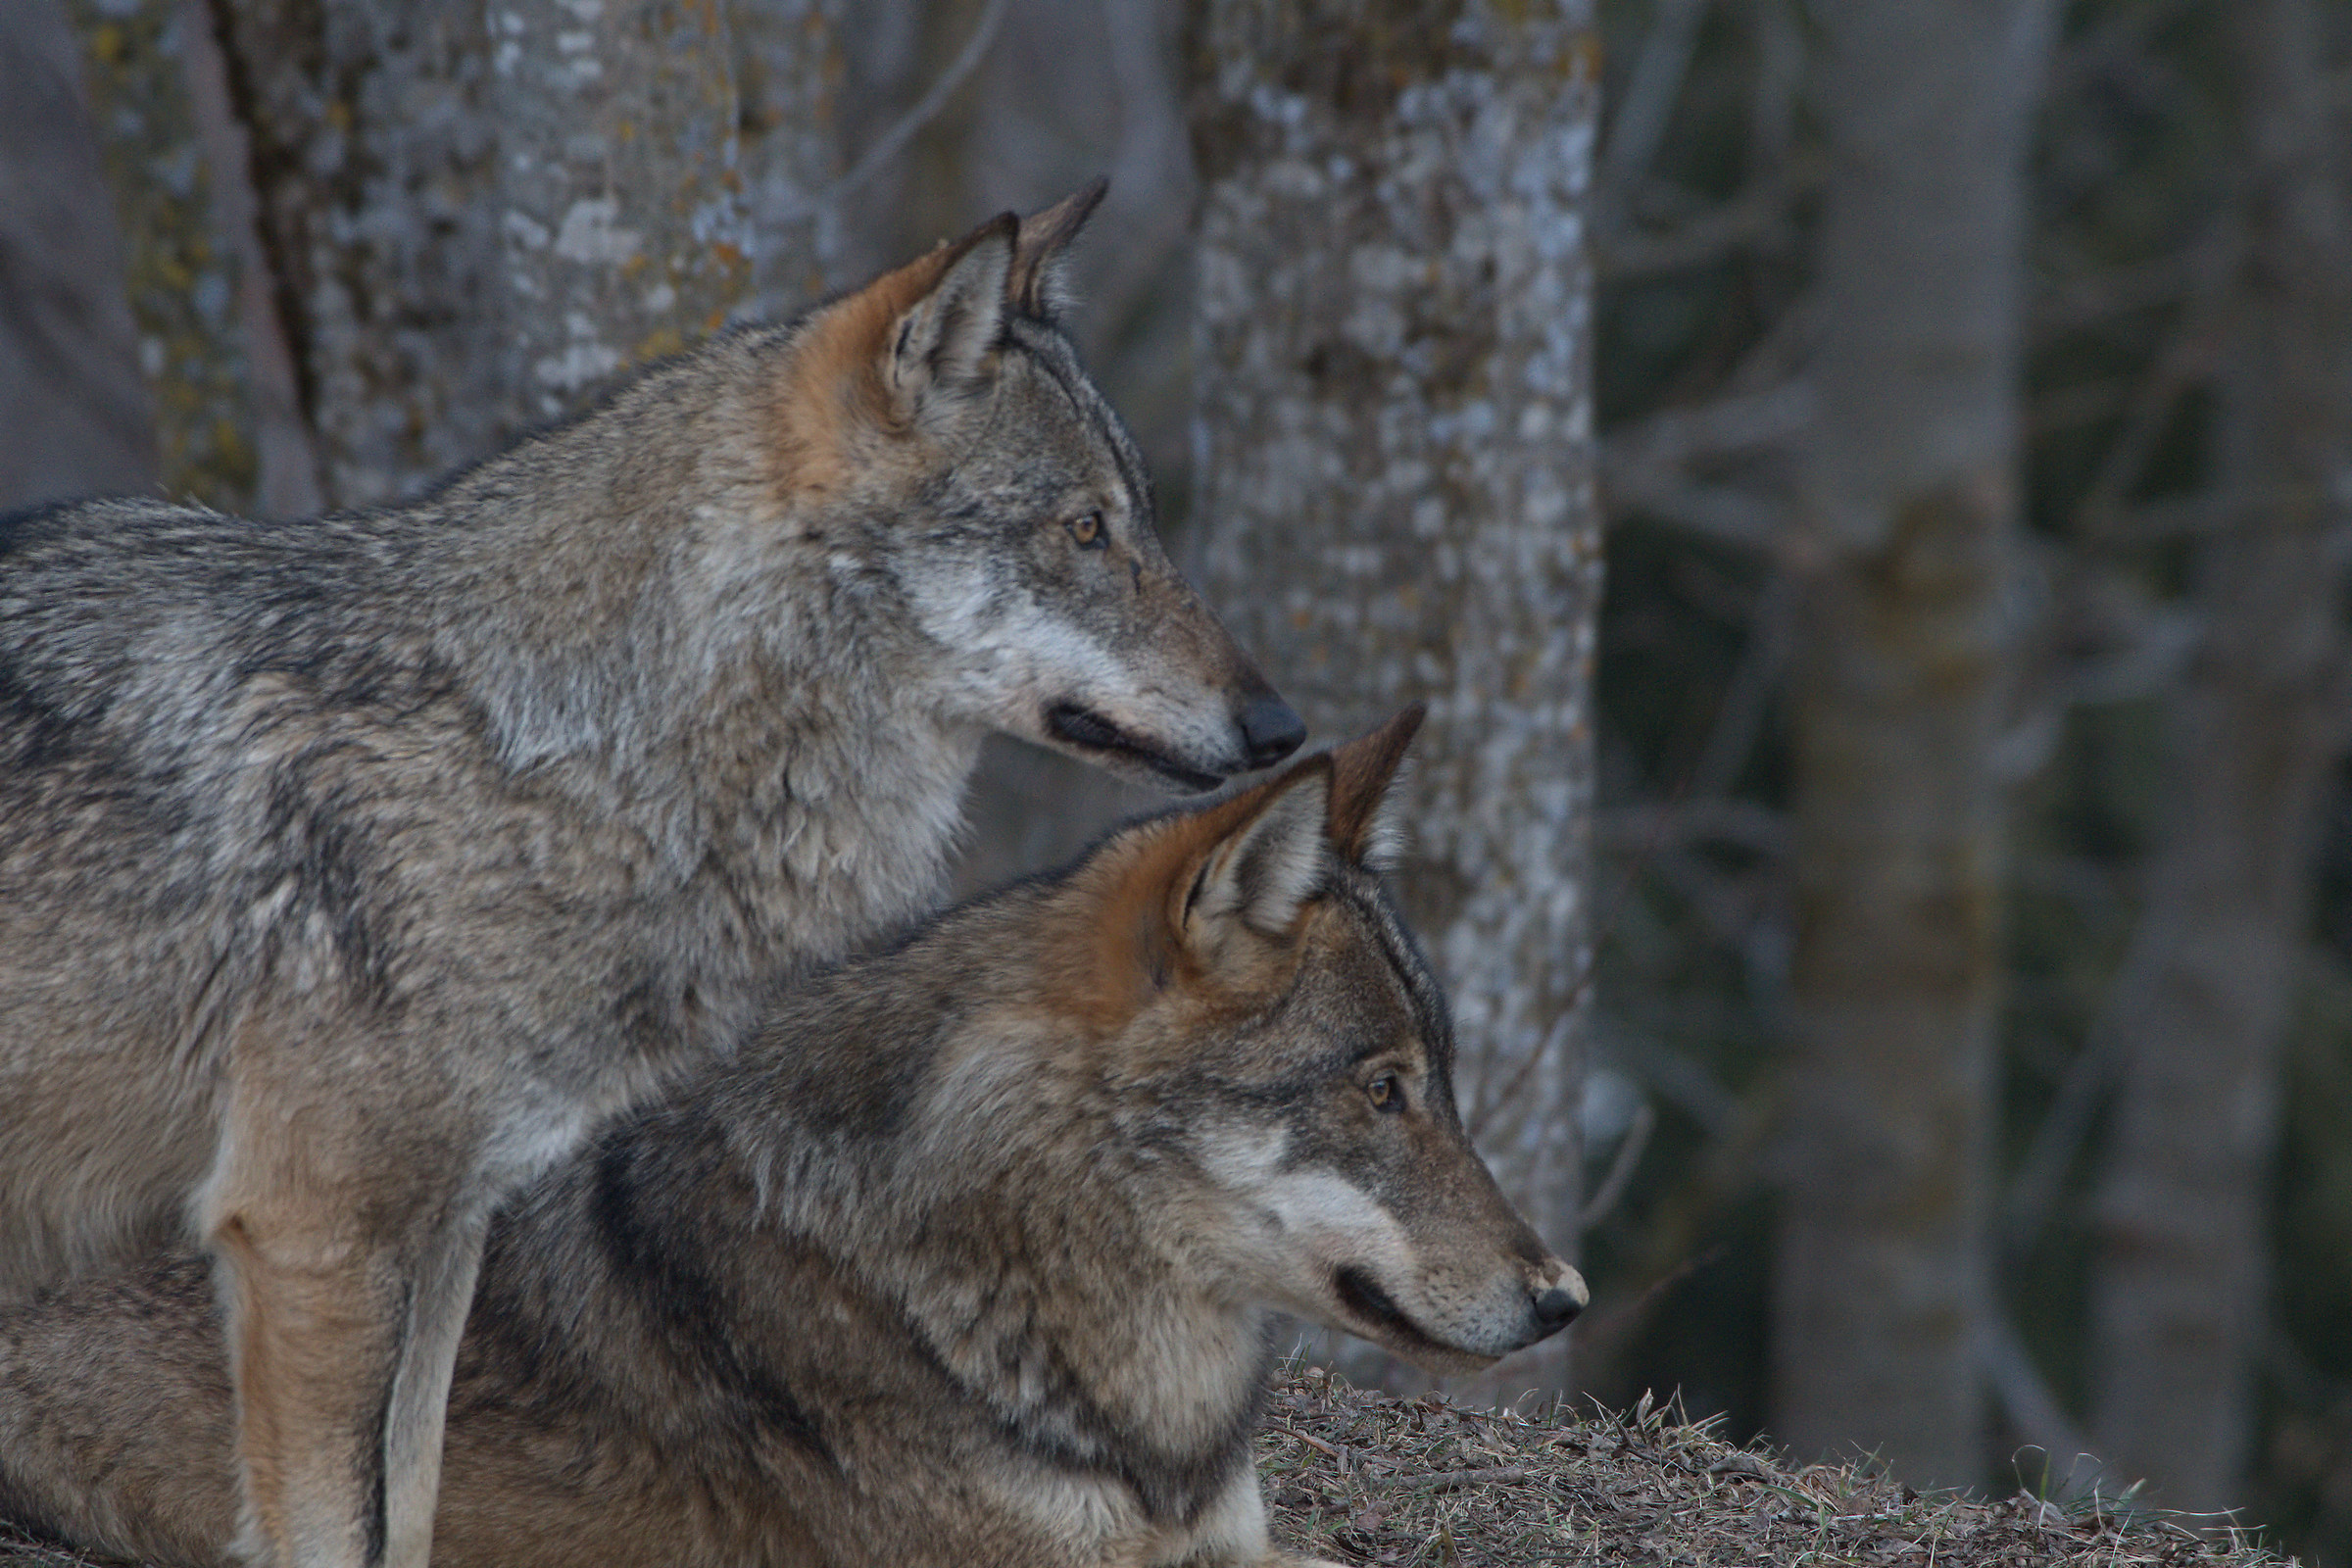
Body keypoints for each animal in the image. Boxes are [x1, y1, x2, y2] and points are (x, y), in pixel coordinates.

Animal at [0, 182, 1302, 1568]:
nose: (1280, 728)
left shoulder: (446, 1230)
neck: (538, 747)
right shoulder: (312, 1236)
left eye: (1133, 517)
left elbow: (412, 1505)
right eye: (1086, 529)